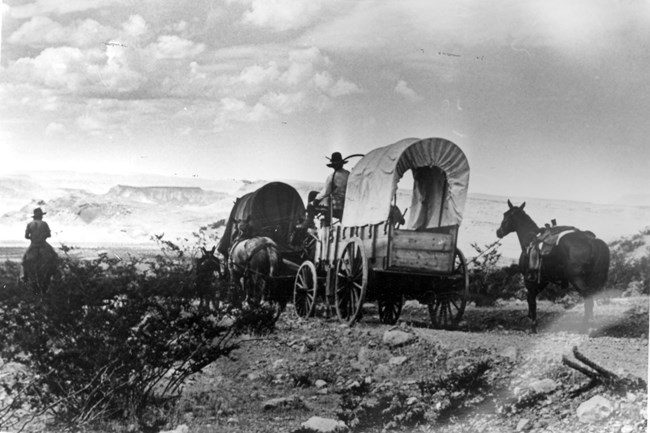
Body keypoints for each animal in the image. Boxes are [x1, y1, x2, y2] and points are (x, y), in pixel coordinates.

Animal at [496, 201, 608, 332]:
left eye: (506, 215)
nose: (498, 232)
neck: (529, 241)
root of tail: (591, 241)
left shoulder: (529, 279)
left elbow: (531, 299)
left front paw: (533, 325)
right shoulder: (543, 280)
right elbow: (529, 296)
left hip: (577, 279)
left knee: (588, 299)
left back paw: (584, 327)